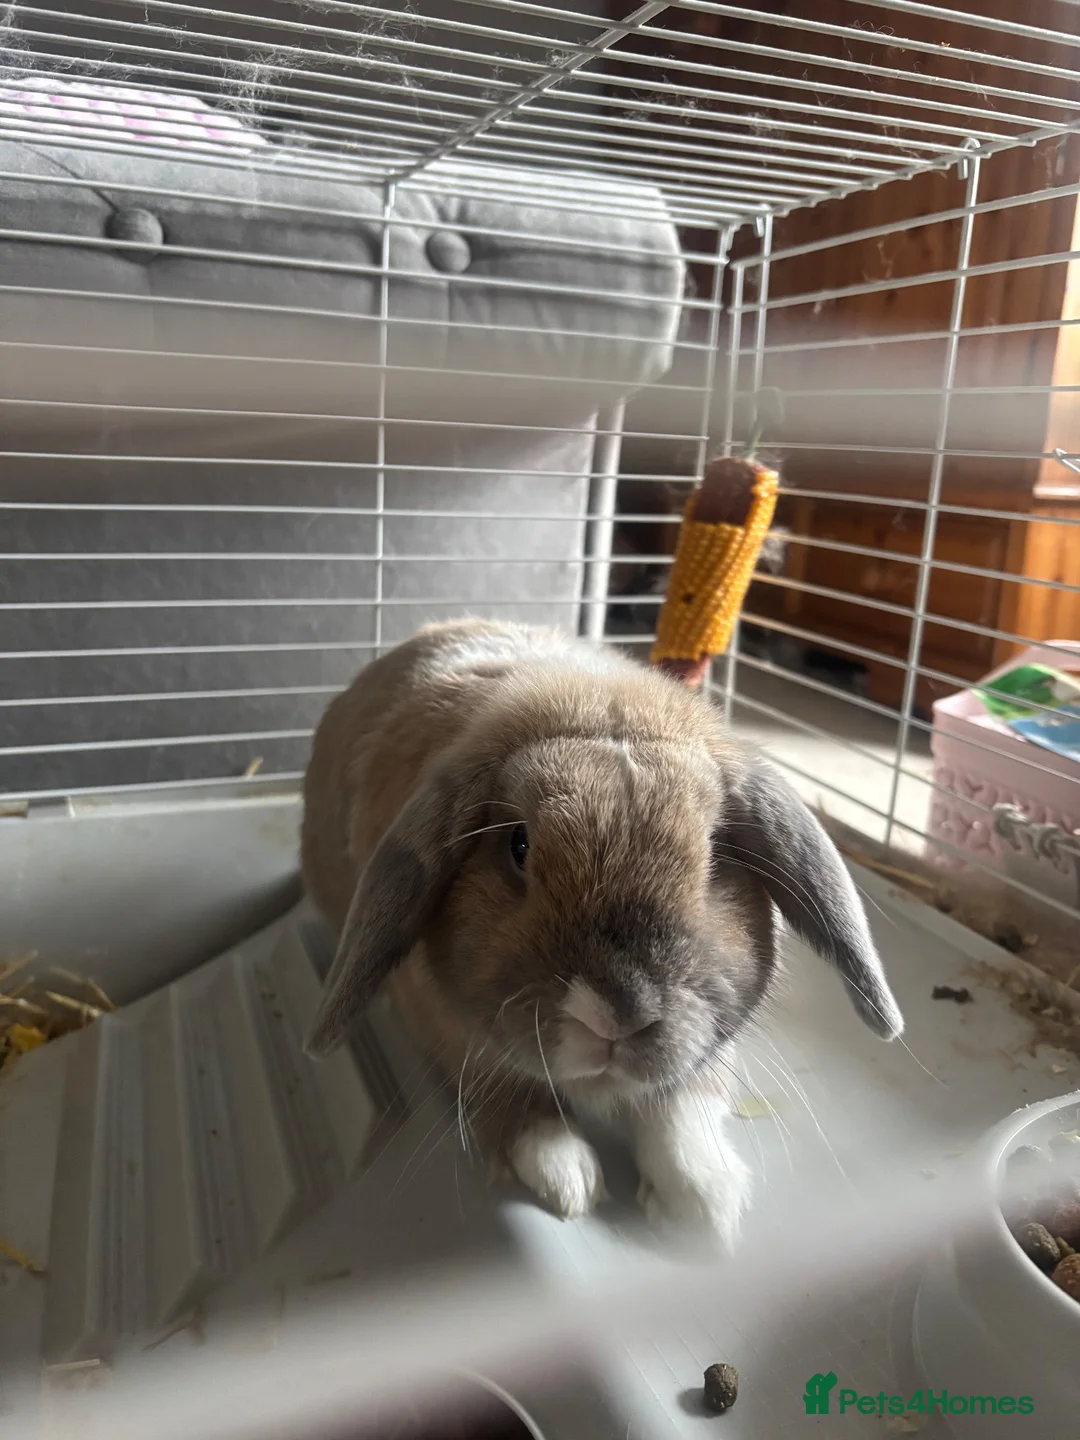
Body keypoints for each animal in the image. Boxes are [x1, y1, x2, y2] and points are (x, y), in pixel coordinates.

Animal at [301, 617, 903, 1249]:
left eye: (715, 855)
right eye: (518, 845)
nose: (619, 1013)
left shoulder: (705, 1050)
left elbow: (680, 1110)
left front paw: (703, 1206)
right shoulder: (451, 1037)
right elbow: (514, 1100)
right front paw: (566, 1176)